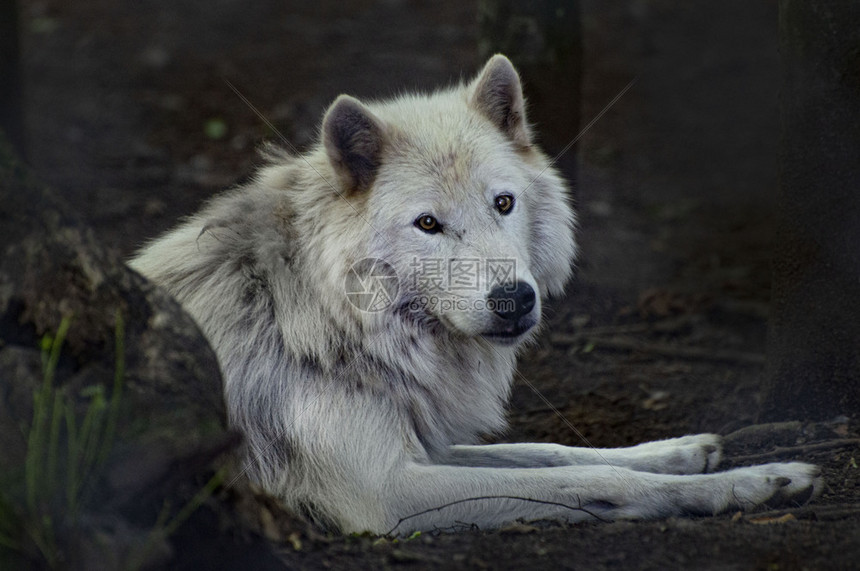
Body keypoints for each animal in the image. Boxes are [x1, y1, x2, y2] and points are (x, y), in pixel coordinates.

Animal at [131, 55, 824, 536]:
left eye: (504, 203)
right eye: (428, 224)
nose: (514, 299)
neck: (316, 317)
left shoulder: (425, 445)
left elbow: (552, 451)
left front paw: (699, 455)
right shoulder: (385, 494)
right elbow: (592, 479)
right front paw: (740, 487)